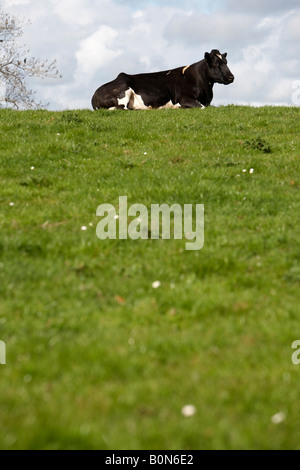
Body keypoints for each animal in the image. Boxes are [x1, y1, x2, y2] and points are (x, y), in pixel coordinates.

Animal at [91, 49, 234, 111]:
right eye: (216, 64)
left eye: (226, 62)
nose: (231, 77)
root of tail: (95, 94)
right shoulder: (184, 99)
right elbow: (202, 107)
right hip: (123, 91)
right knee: (122, 108)